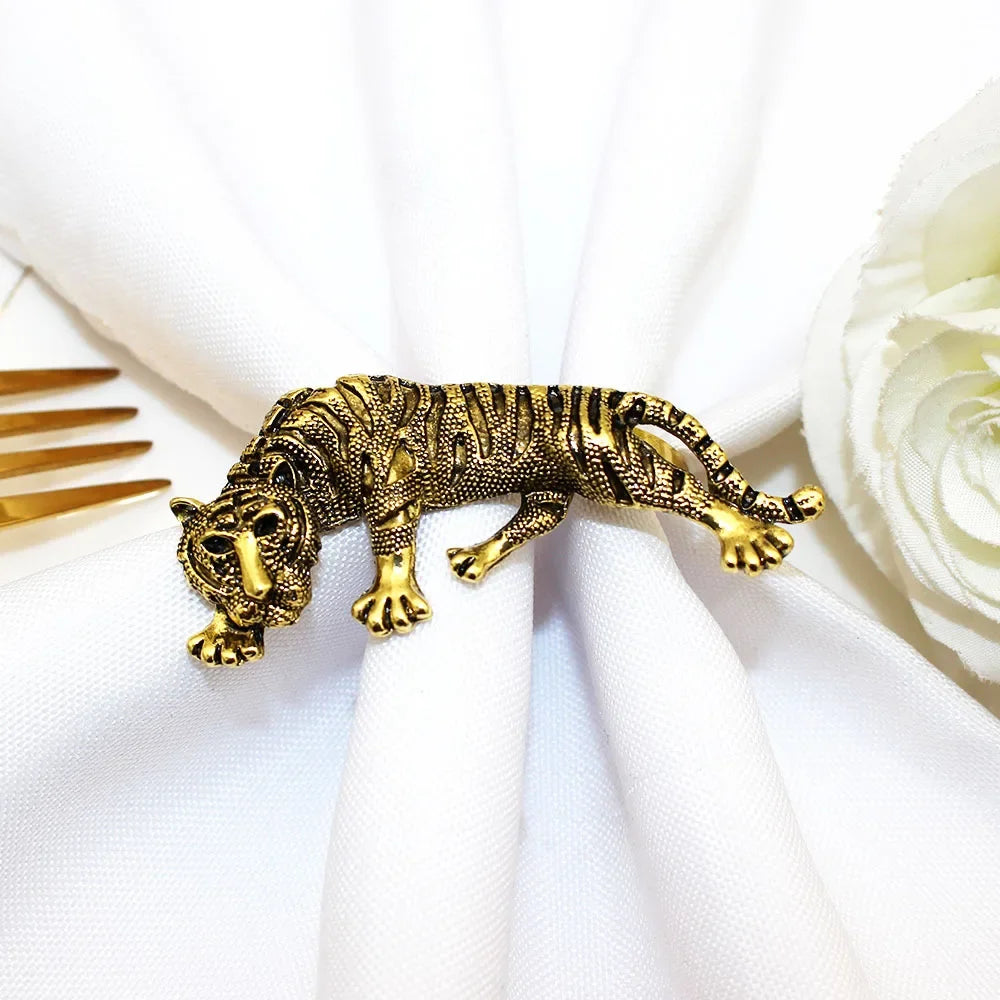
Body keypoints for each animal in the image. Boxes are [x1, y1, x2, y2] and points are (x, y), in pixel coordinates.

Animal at [171, 375, 825, 665]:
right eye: (219, 547)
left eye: (269, 528)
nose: (262, 593)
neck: (287, 461)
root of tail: (603, 396)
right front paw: (228, 632)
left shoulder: (391, 491)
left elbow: (392, 546)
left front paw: (390, 604)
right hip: (559, 480)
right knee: (541, 515)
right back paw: (475, 558)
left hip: (617, 471)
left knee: (695, 495)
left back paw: (751, 539)